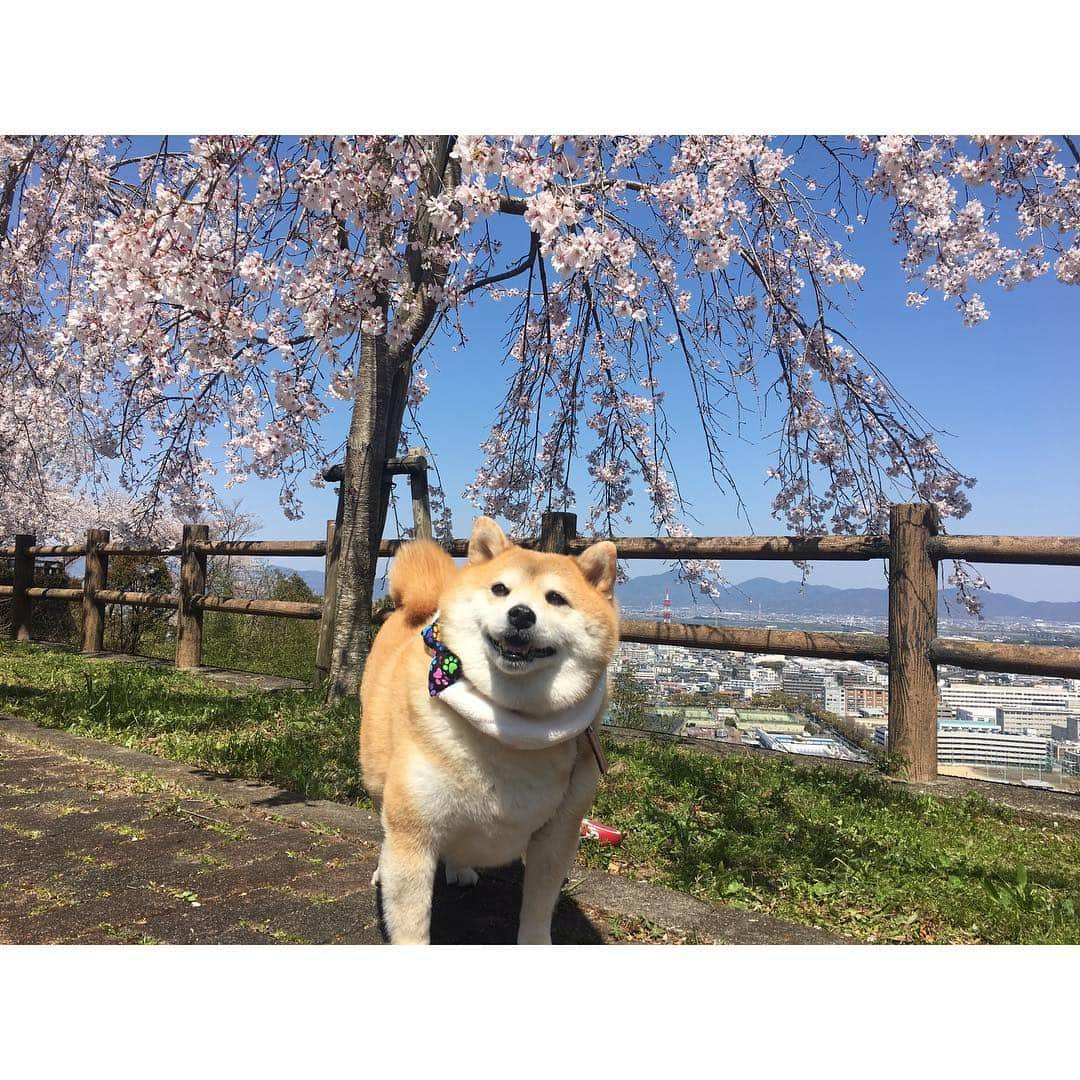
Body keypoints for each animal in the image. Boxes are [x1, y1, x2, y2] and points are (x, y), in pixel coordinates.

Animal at [360, 518, 617, 941]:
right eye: (500, 589)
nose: (521, 614)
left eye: (556, 599)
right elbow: (412, 921)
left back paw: (460, 867)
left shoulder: (557, 836)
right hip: (380, 774)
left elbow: (539, 907)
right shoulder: (413, 833)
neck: (512, 723)